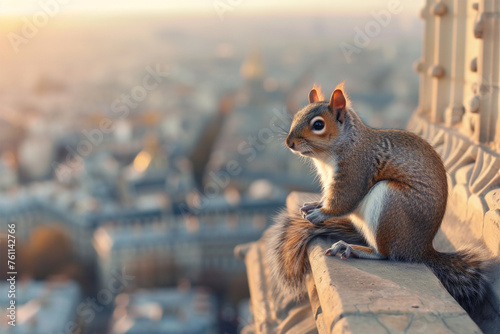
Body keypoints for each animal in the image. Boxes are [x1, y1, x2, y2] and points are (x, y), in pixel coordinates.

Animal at [266, 82, 488, 312]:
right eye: (296, 116)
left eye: (318, 125)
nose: (289, 142)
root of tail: (420, 250)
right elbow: (328, 197)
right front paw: (314, 205)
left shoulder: (355, 169)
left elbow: (342, 200)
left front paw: (321, 214)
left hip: (390, 205)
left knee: (385, 254)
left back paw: (350, 248)